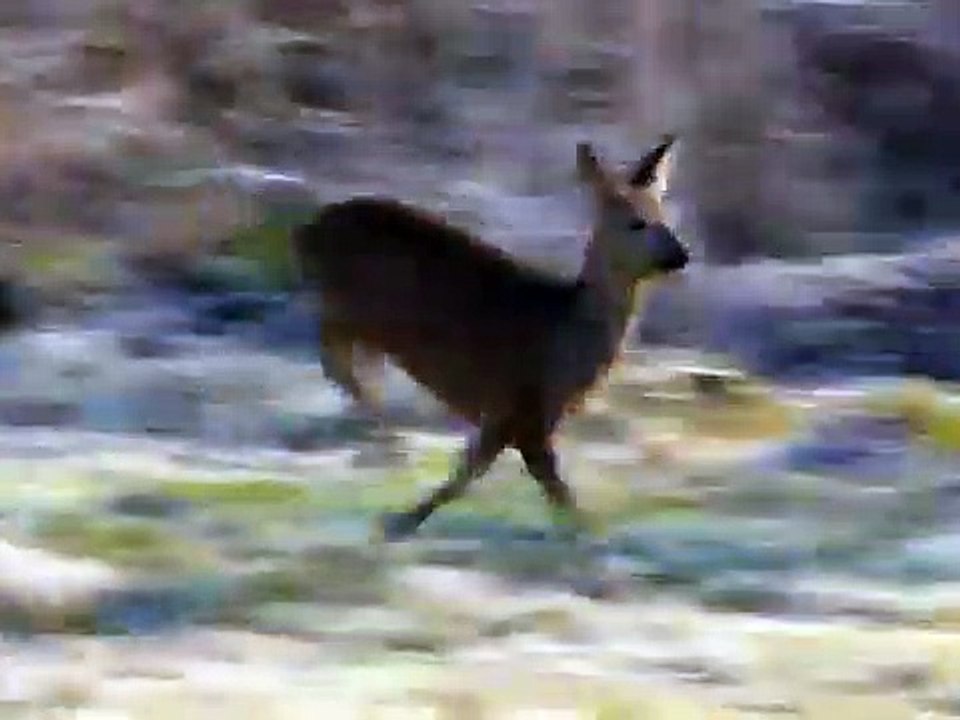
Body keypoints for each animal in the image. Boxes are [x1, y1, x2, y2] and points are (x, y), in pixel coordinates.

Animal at [291, 136, 688, 544]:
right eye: (636, 223)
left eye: (666, 218)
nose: (681, 255)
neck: (568, 331)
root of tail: (305, 231)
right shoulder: (523, 405)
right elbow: (533, 484)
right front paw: (399, 522)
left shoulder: (511, 413)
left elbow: (478, 471)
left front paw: (402, 519)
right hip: (354, 306)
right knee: (336, 357)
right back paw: (387, 439)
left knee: (348, 363)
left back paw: (381, 437)